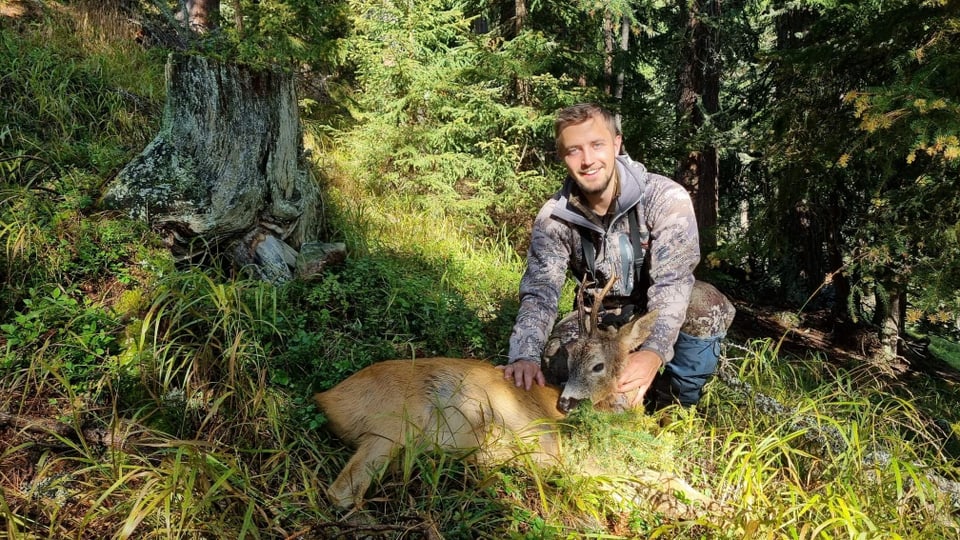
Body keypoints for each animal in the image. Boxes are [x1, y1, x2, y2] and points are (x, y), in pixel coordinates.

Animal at [316, 278, 712, 516]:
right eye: (571, 360)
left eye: (597, 365)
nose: (564, 405)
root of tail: (326, 397)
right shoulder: (569, 456)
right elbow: (634, 482)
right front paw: (691, 508)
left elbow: (661, 474)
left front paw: (699, 502)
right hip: (395, 422)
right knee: (341, 492)